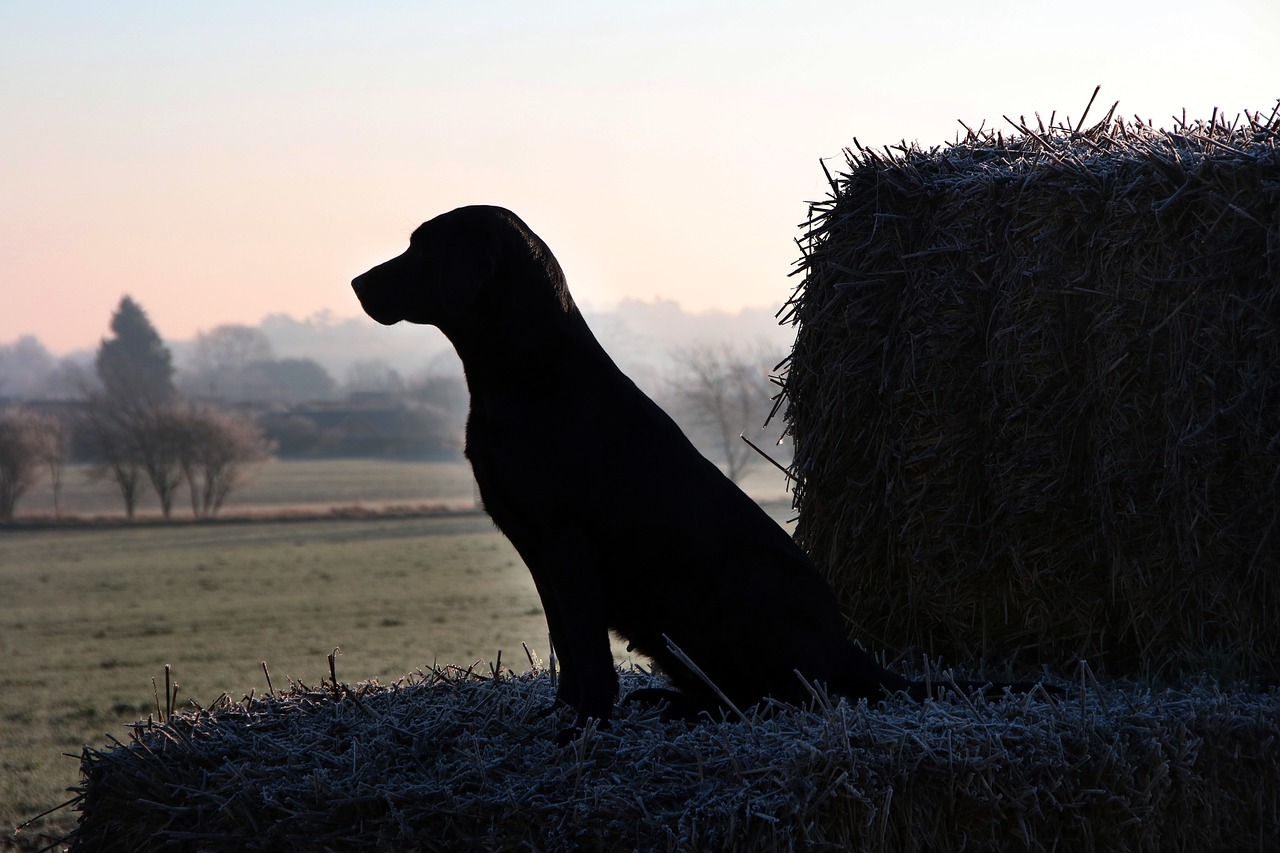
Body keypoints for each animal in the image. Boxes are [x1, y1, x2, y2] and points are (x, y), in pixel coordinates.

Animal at [353, 206, 1039, 737]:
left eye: (420, 247)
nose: (356, 282)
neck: (528, 373)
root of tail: (850, 649)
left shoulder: (566, 539)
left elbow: (587, 651)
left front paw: (584, 725)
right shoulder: (535, 544)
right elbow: (568, 645)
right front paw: (562, 715)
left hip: (745, 581)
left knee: (783, 699)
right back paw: (672, 703)